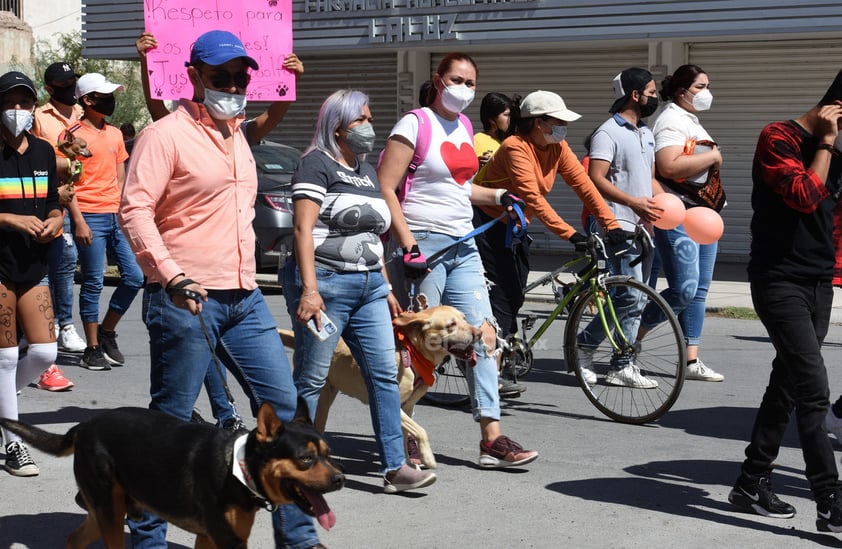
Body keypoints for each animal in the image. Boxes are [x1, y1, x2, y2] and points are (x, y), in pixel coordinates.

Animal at [0, 398, 342, 548]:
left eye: (328, 455)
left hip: (106, 510)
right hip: (109, 510)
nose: (340, 478)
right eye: (306, 459)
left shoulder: (210, 537)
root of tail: (84, 426)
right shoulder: (228, 540)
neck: (239, 468)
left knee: (74, 539)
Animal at [280, 304, 480, 466]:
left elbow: (405, 436)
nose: (479, 334)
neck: (412, 352)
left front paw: (408, 463)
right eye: (451, 324)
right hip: (322, 398)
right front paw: (428, 458)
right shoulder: (392, 402)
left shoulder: (407, 407)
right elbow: (421, 431)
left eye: (464, 318)